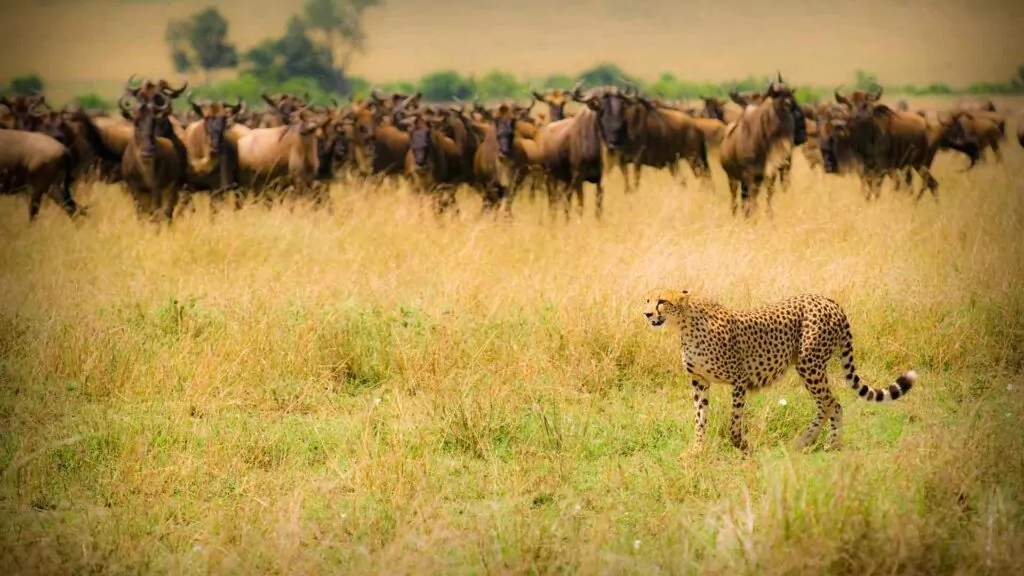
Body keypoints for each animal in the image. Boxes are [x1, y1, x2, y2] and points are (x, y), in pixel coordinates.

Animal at [643, 289, 917, 450]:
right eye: (647, 300)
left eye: (662, 301)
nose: (646, 314)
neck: (685, 325)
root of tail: (827, 300)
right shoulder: (699, 381)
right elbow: (700, 418)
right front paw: (696, 451)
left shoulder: (740, 379)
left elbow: (734, 418)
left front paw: (739, 444)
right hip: (808, 366)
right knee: (826, 404)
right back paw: (809, 442)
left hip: (810, 364)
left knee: (832, 403)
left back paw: (827, 444)